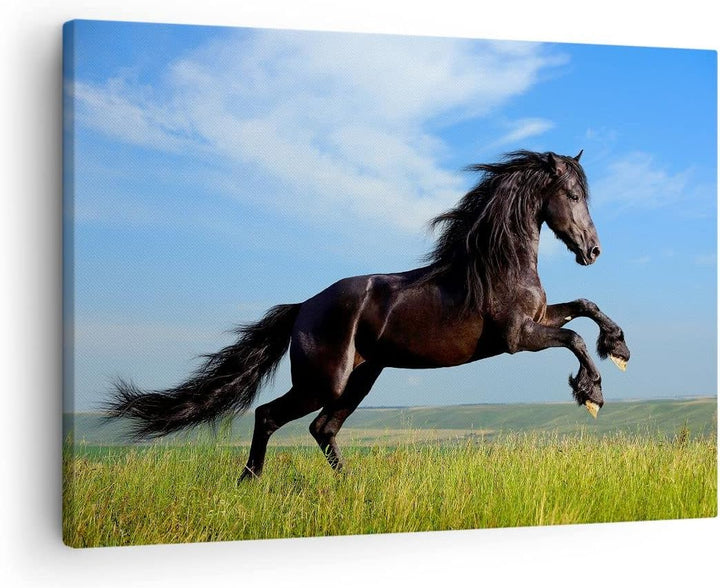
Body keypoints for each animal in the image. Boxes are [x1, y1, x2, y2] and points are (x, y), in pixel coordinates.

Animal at [106, 149, 630, 480]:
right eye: (574, 196)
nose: (594, 251)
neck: (498, 264)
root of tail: (303, 308)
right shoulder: (517, 338)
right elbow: (574, 339)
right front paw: (592, 393)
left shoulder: (541, 318)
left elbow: (585, 308)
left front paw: (619, 347)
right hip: (324, 381)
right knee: (269, 416)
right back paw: (248, 483)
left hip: (361, 377)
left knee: (322, 429)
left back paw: (350, 486)